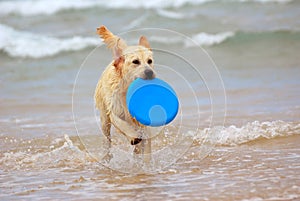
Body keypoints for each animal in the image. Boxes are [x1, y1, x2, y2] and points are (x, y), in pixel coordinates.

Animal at [94, 25, 155, 162]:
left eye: (149, 61)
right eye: (135, 61)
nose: (149, 72)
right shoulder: (114, 111)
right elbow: (123, 124)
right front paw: (133, 137)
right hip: (104, 119)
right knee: (107, 138)